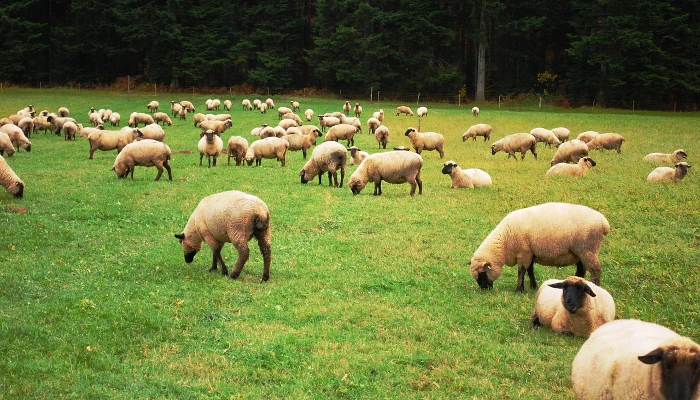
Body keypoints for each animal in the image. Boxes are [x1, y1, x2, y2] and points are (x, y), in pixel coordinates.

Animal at [470, 202, 612, 292]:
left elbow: (521, 271)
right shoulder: (530, 252)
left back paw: (595, 287)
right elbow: (530, 270)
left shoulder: (524, 252)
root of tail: (603, 222)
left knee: (595, 271)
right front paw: (533, 286)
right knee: (582, 270)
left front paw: (519, 289)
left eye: (482, 274)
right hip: (580, 253)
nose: (484, 289)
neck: (505, 241)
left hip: (588, 249)